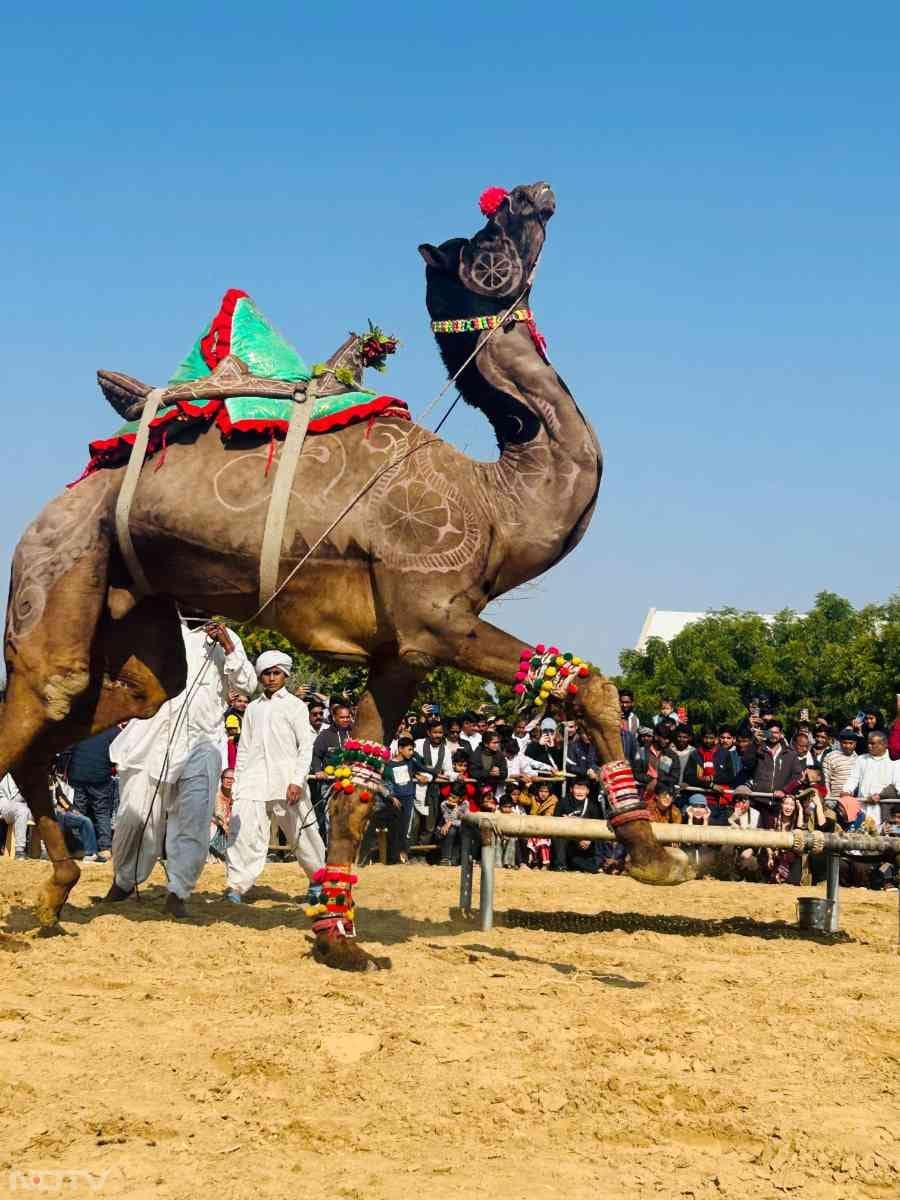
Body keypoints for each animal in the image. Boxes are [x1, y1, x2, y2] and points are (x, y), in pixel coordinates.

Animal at [1, 180, 691, 964]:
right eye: (489, 235)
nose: (533, 192)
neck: (497, 502)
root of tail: (59, 500)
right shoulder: (435, 615)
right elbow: (585, 683)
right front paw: (659, 858)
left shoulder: (403, 654)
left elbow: (358, 776)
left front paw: (340, 939)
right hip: (56, 563)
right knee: (46, 697)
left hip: (130, 614)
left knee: (115, 699)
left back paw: (55, 897)